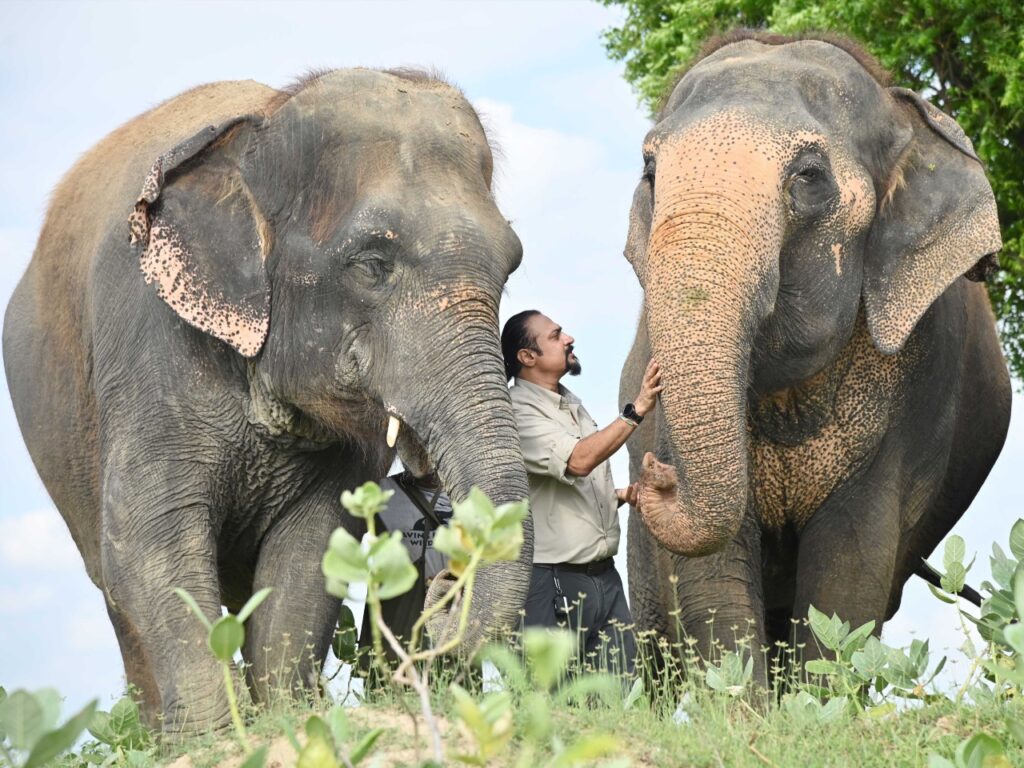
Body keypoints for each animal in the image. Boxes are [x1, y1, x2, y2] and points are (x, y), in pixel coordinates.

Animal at [6, 69, 536, 737]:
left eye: (511, 267)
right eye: (373, 264)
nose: (442, 591)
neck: (265, 123)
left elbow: (314, 550)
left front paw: (290, 721)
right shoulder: (147, 345)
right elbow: (147, 541)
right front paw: (217, 740)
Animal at [618, 30, 1011, 684]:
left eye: (808, 176)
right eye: (650, 171)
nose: (654, 474)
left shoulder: (910, 409)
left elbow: (848, 579)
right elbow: (713, 584)